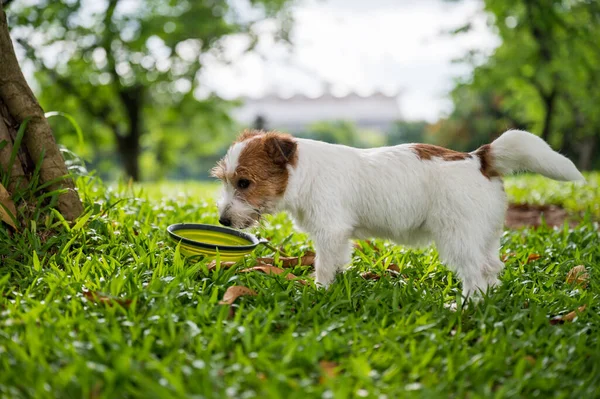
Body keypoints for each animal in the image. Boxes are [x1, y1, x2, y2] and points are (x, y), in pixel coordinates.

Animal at [210, 130, 580, 296]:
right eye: (225, 180)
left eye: (244, 182)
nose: (223, 221)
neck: (302, 172)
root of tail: (479, 158)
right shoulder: (338, 236)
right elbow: (339, 260)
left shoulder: (330, 231)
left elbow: (324, 265)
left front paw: (320, 290)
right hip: (484, 234)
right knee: (491, 266)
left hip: (457, 237)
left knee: (474, 273)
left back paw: (465, 304)